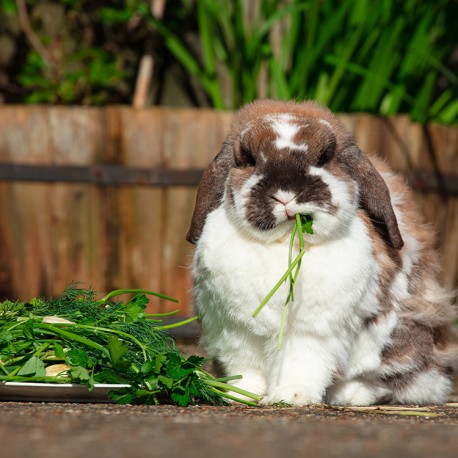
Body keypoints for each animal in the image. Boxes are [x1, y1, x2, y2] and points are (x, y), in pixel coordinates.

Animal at [185, 99, 454, 404]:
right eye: (250, 159)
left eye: (324, 157)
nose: (285, 194)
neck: (283, 246)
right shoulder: (237, 332)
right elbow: (246, 369)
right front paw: (240, 395)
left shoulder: (310, 333)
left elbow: (299, 365)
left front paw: (291, 397)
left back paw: (351, 395)